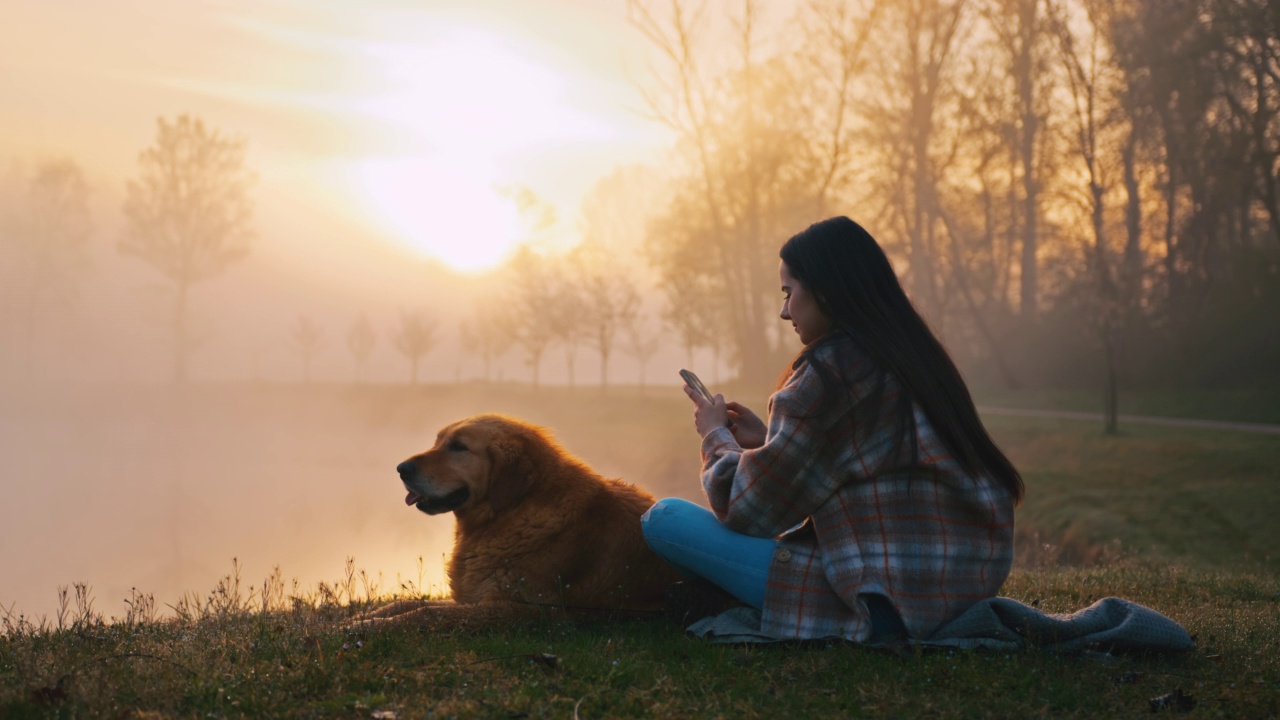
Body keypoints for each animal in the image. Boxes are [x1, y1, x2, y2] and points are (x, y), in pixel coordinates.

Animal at [386, 412, 680, 614]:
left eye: (459, 447)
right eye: (438, 442)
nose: (401, 468)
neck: (511, 512)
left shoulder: (512, 605)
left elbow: (423, 613)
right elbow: (404, 606)